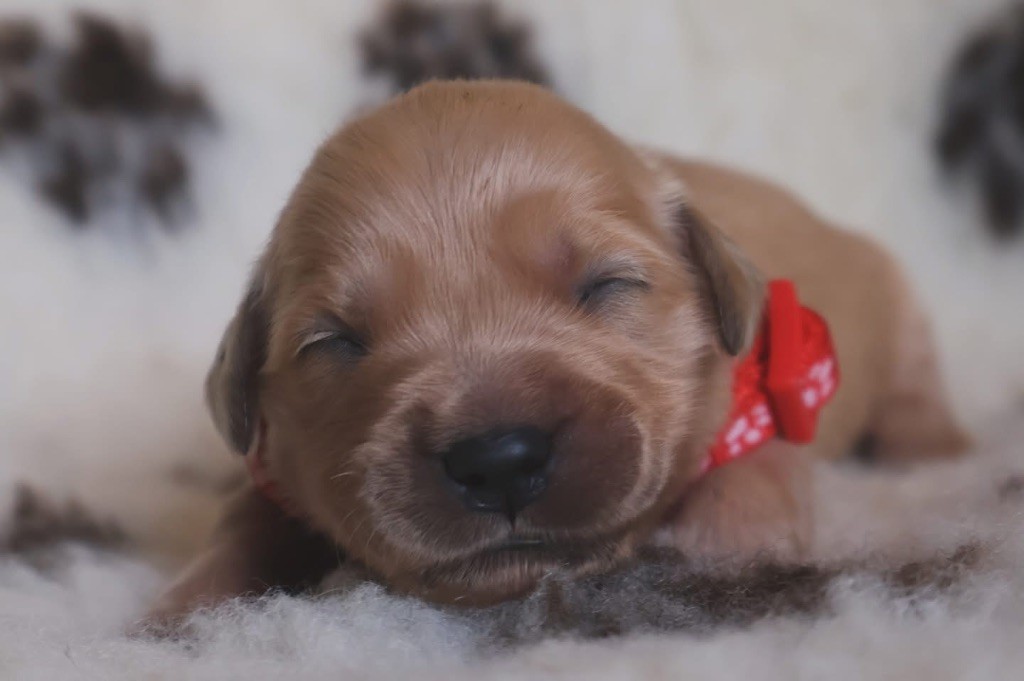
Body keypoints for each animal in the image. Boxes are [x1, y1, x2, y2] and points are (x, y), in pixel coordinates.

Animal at [145, 81, 968, 624]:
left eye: (607, 284)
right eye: (334, 341)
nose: (498, 460)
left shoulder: (758, 404)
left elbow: (744, 492)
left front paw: (721, 546)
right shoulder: (269, 464)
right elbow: (241, 521)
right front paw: (188, 607)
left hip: (901, 302)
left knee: (916, 388)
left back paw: (929, 447)